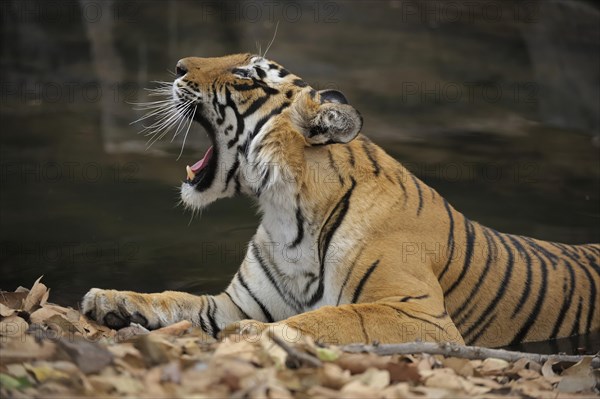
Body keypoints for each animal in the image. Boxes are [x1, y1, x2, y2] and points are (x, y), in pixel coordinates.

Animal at [82, 54, 596, 350]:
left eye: (247, 74)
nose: (177, 67)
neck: (286, 213)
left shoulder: (421, 315)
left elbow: (333, 318)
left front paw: (255, 336)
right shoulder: (235, 303)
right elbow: (177, 299)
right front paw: (110, 298)